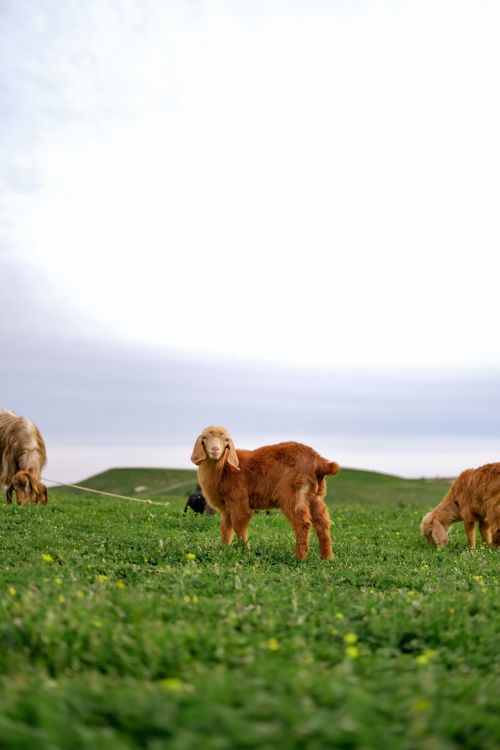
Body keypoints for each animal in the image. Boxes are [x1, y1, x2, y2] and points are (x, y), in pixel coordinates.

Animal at [190, 426, 340, 560]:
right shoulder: (227, 507)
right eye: (205, 438)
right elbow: (225, 528)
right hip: (313, 496)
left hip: (292, 494)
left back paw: (299, 558)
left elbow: (239, 525)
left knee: (302, 523)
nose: (215, 449)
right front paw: (224, 548)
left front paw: (244, 550)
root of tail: (319, 461)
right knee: (322, 523)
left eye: (226, 440)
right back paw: (327, 557)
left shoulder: (238, 500)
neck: (224, 469)